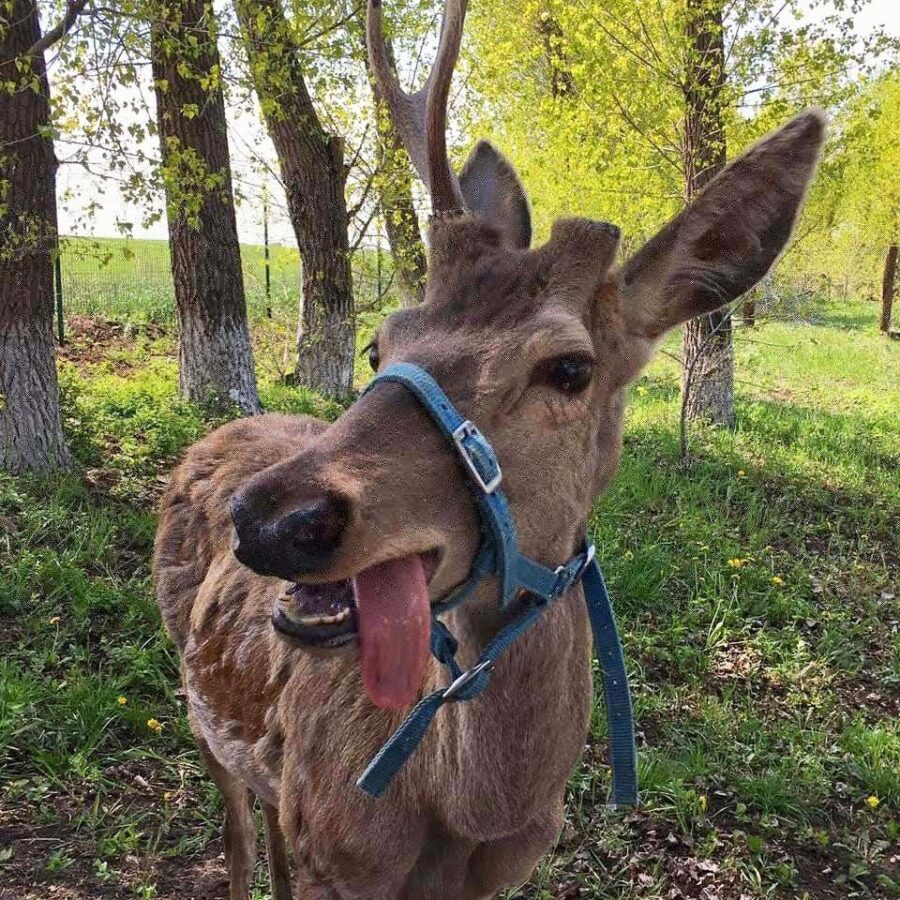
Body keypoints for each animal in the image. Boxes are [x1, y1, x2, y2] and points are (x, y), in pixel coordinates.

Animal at [153, 0, 824, 892]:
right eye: (379, 344)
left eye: (570, 368)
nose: (271, 517)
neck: (464, 814)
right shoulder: (335, 851)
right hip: (197, 704)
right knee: (237, 832)